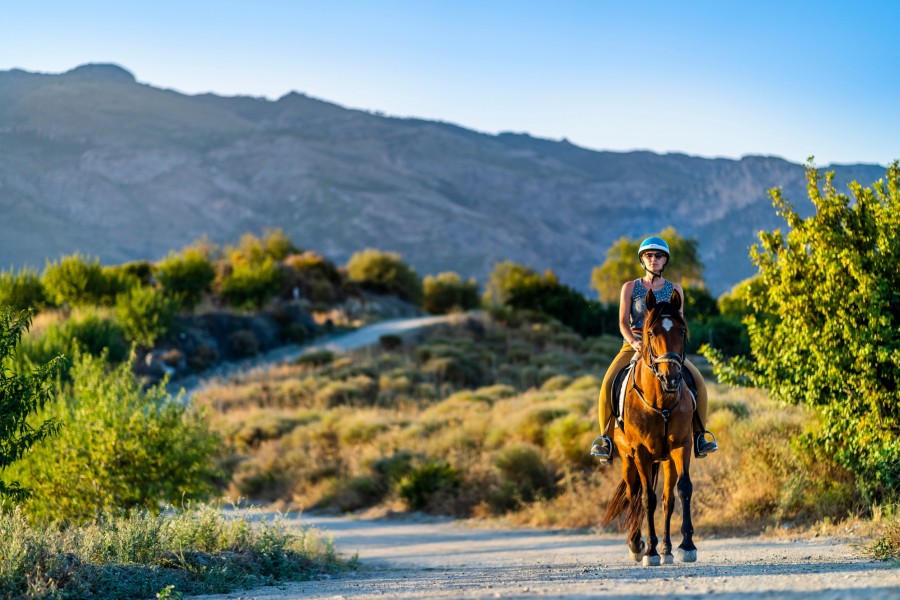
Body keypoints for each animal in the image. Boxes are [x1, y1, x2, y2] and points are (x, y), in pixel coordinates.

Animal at [600, 288, 700, 564]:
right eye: (652, 333)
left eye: (682, 331)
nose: (671, 378)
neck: (661, 401)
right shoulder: (641, 453)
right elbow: (646, 499)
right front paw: (650, 551)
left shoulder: (682, 446)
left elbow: (683, 490)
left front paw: (686, 546)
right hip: (627, 457)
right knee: (634, 494)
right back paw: (637, 545)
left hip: (665, 459)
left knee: (667, 499)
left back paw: (666, 548)